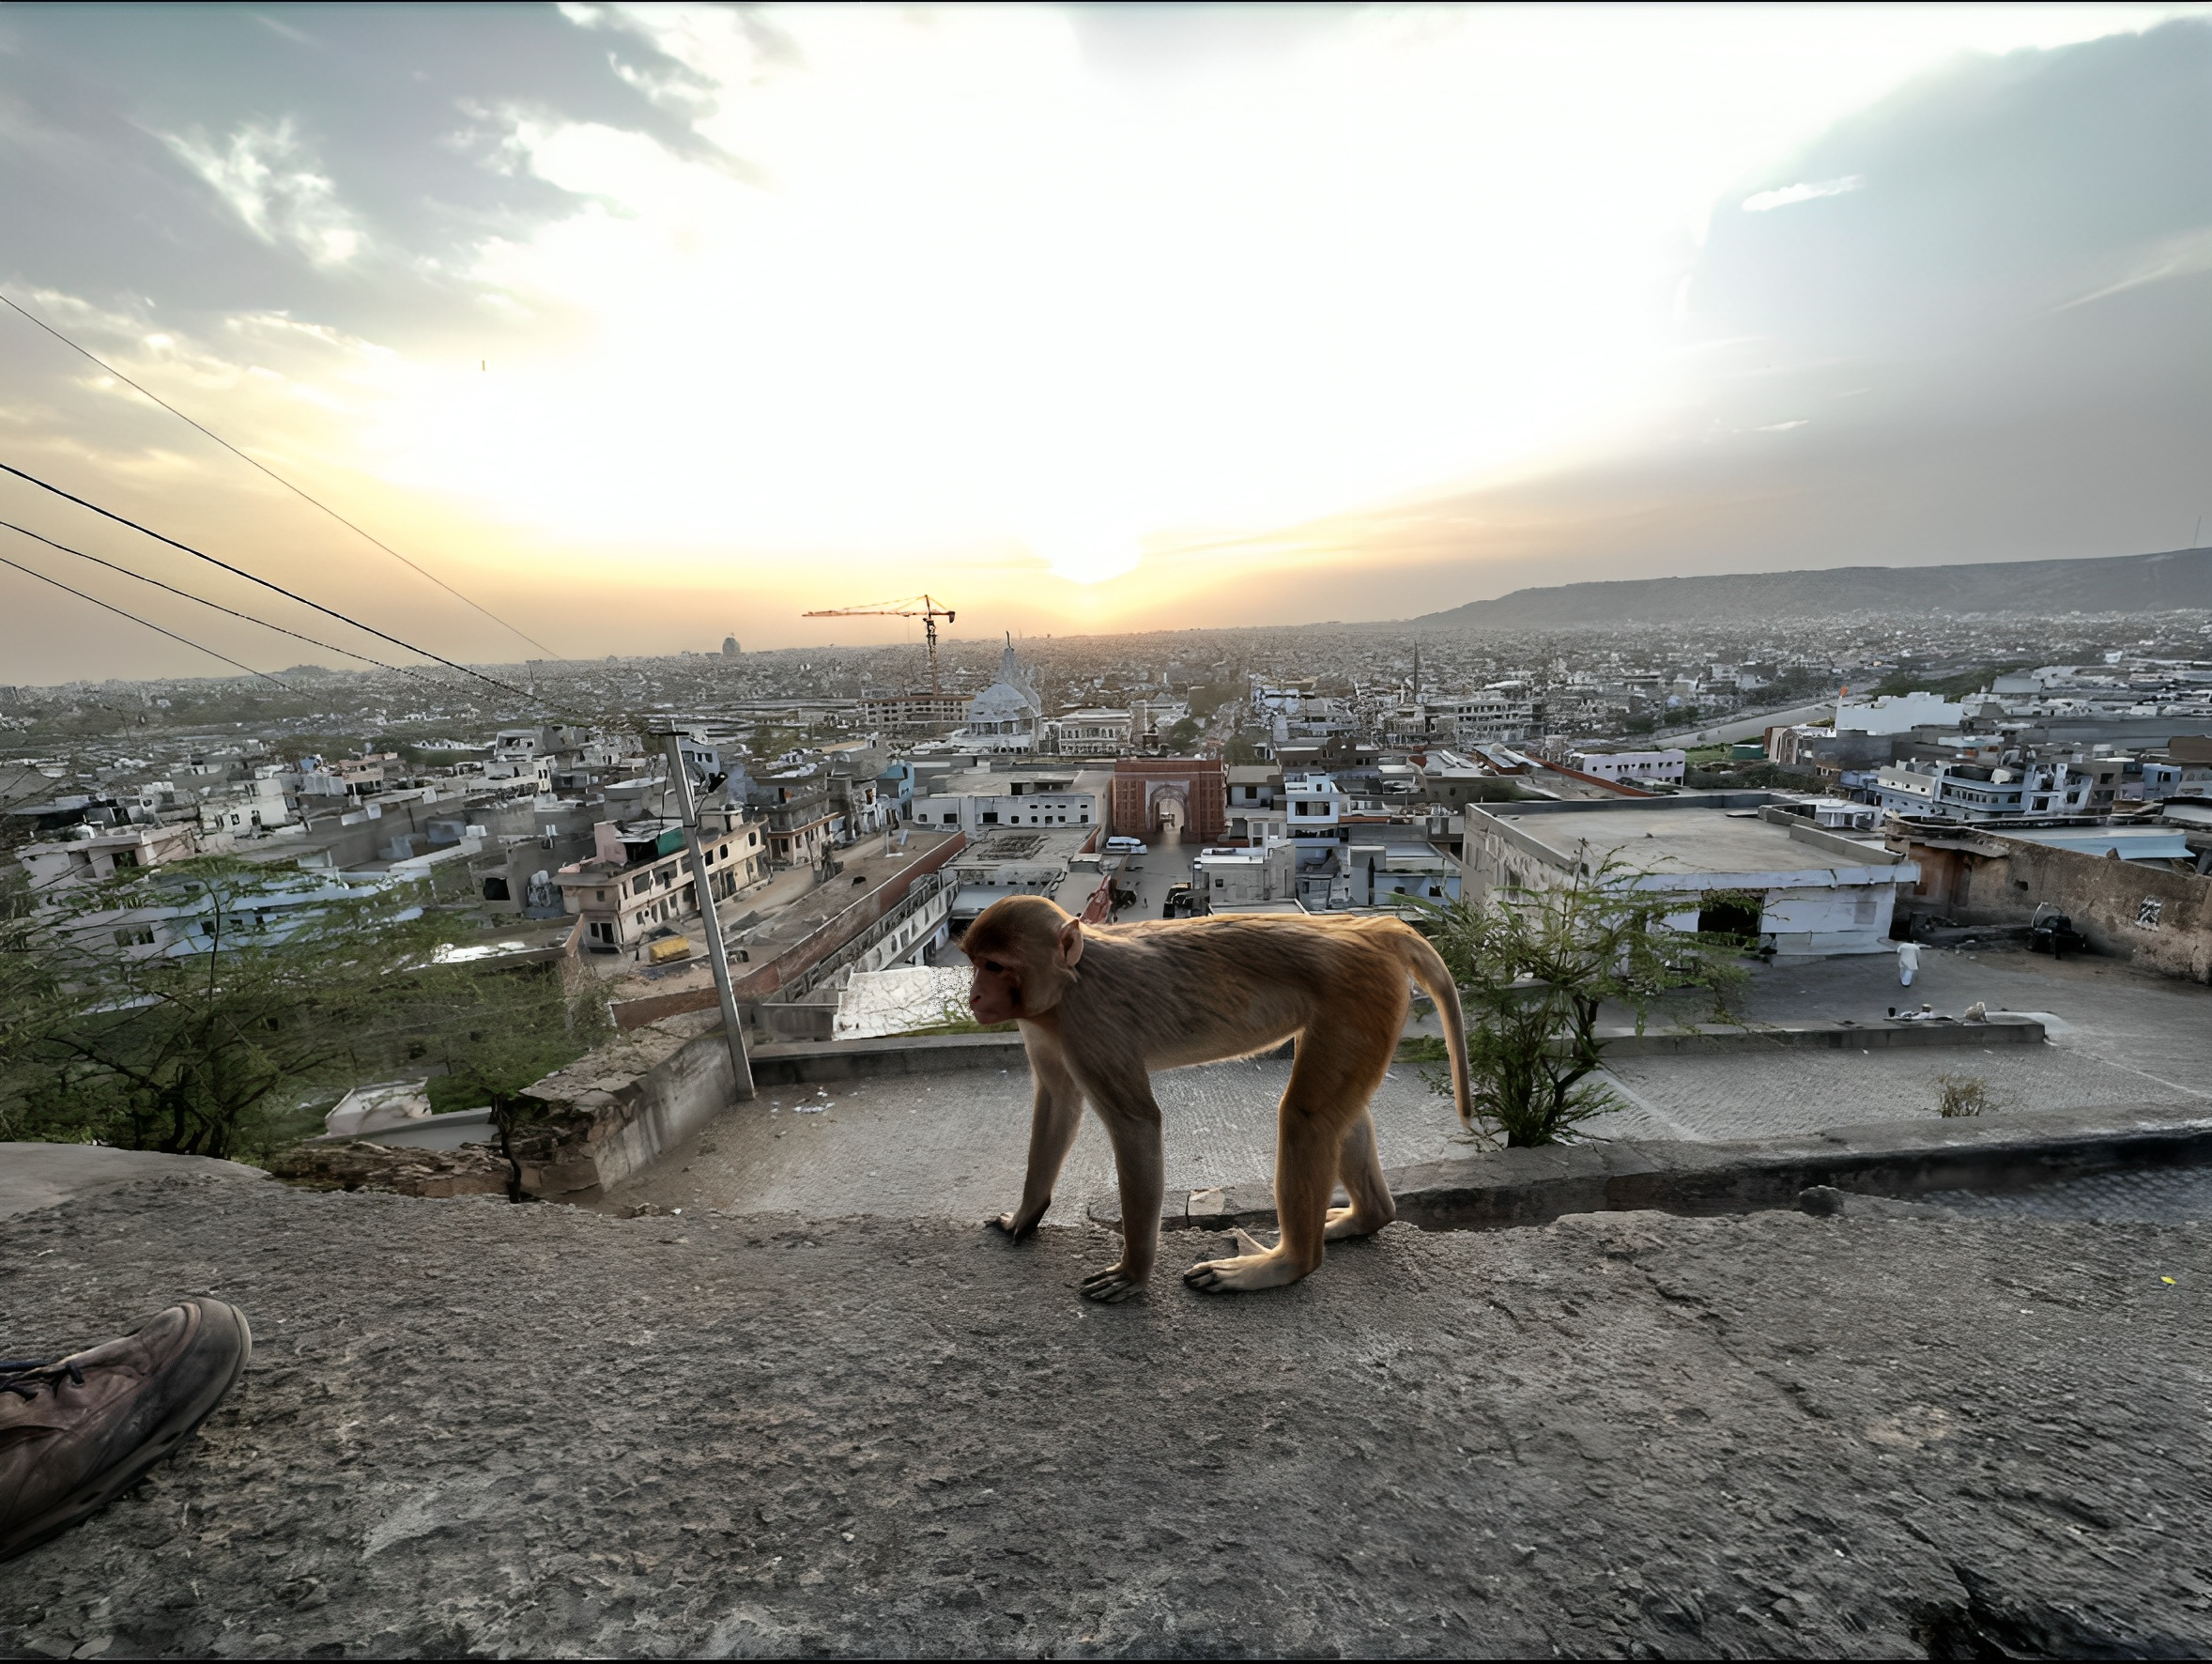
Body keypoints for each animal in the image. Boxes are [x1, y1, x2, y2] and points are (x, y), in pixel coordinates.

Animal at [962, 893, 1471, 1302]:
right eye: (976, 962)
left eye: (995, 966)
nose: (974, 996)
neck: (1070, 980)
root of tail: (1373, 928)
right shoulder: (1042, 1023)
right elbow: (1057, 1101)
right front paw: (1025, 1216)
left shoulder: (1091, 1027)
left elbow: (1136, 1124)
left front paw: (1133, 1273)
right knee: (1335, 1115)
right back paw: (1366, 1217)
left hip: (1358, 996)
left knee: (1305, 1117)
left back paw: (1286, 1264)